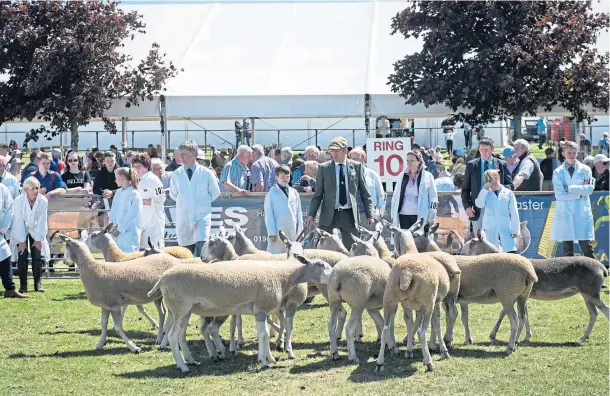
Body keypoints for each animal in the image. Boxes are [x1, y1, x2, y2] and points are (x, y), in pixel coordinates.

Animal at [146, 241, 332, 372]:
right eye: (321, 265)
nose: (334, 275)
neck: (282, 277)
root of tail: (162, 279)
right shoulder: (262, 308)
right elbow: (264, 335)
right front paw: (264, 362)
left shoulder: (261, 310)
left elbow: (265, 334)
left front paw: (269, 358)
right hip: (179, 306)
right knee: (172, 336)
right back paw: (183, 367)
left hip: (183, 311)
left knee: (180, 336)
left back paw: (191, 360)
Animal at [458, 230, 604, 342]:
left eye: (472, 243)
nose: (460, 255)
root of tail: (601, 267)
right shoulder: (523, 295)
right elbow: (525, 315)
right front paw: (527, 336)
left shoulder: (511, 293)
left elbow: (504, 313)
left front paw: (493, 334)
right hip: (586, 293)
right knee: (594, 313)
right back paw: (584, 337)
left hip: (591, 291)